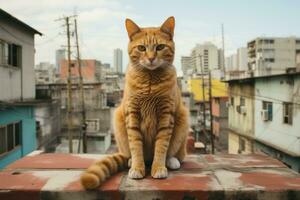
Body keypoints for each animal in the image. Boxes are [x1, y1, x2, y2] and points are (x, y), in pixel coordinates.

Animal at [81, 16, 189, 189]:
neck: (150, 80)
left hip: (182, 120)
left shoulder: (166, 116)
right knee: (132, 153)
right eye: (141, 48)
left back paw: (171, 161)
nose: (151, 58)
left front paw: (158, 168)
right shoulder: (132, 115)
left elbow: (161, 146)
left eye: (160, 47)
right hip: (119, 120)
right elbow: (136, 146)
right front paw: (137, 168)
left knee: (175, 153)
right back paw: (132, 161)